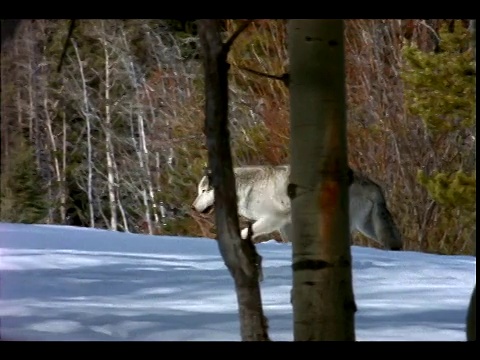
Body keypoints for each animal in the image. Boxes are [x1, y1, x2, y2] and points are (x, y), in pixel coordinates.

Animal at [191, 165, 402, 250]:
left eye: (203, 191)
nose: (192, 208)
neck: (243, 189)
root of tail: (373, 185)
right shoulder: (285, 224)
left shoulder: (273, 219)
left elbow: (246, 231)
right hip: (368, 227)